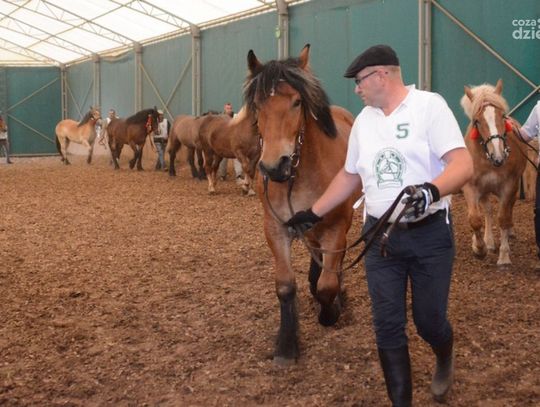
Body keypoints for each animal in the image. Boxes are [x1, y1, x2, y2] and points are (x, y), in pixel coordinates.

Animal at [243, 44, 358, 363]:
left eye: (296, 102)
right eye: (257, 105)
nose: (274, 166)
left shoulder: (335, 226)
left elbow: (328, 286)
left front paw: (330, 312)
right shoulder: (276, 228)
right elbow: (285, 286)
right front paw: (286, 345)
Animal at [460, 79, 527, 267]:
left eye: (502, 116)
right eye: (477, 120)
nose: (499, 156)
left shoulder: (509, 186)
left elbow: (503, 217)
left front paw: (504, 256)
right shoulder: (471, 187)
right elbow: (475, 219)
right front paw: (479, 248)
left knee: (508, 210)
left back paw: (509, 233)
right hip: (484, 190)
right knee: (488, 211)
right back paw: (488, 241)